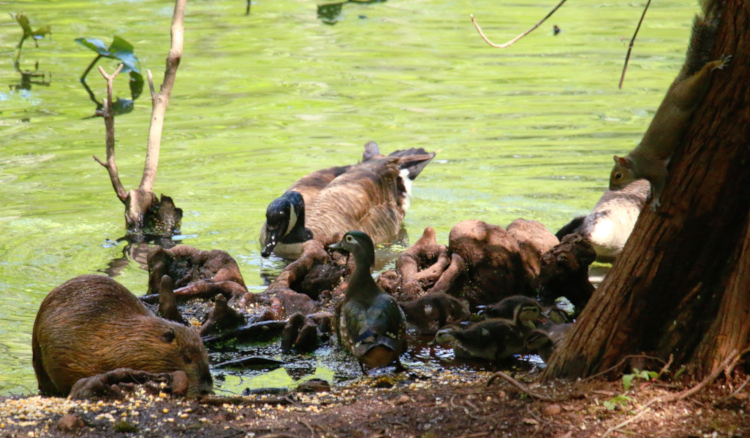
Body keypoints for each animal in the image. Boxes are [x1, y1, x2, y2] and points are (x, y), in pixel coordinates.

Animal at [609, 0, 731, 211]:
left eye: (618, 175)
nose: (611, 188)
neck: (637, 162)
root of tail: (678, 82)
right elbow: (651, 185)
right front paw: (649, 193)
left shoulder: (655, 169)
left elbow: (660, 182)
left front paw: (656, 200)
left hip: (688, 93)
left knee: (702, 76)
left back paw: (716, 64)